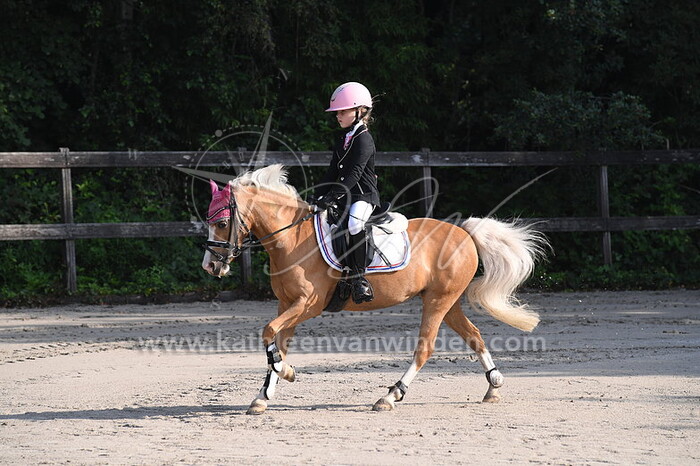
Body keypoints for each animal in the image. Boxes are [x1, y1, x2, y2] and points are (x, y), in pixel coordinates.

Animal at [201, 164, 549, 415]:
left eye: (222, 223)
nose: (211, 266)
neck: (293, 238)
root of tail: (463, 231)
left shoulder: (308, 304)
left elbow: (269, 333)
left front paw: (285, 374)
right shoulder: (286, 303)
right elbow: (276, 340)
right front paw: (264, 394)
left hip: (439, 300)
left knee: (425, 348)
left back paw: (390, 396)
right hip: (447, 301)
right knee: (474, 336)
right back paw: (494, 385)